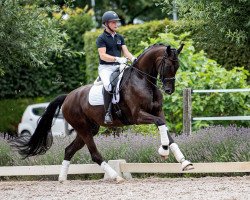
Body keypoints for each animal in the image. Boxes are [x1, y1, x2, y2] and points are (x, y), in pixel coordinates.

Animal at [11, 44, 194, 183]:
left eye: (177, 67)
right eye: (168, 65)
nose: (169, 90)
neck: (142, 80)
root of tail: (68, 97)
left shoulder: (157, 112)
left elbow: (166, 131)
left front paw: (184, 162)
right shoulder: (137, 116)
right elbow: (160, 124)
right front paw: (163, 151)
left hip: (89, 129)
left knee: (69, 150)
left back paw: (62, 179)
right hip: (83, 128)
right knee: (94, 155)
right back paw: (116, 177)